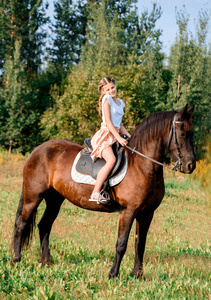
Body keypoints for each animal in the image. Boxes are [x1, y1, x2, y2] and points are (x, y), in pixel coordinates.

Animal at [12, 103, 195, 278]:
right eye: (182, 133)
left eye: (192, 133)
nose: (190, 166)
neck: (140, 165)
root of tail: (37, 151)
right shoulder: (128, 211)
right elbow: (121, 244)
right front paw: (113, 274)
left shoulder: (147, 213)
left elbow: (140, 243)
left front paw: (137, 274)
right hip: (33, 197)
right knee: (21, 225)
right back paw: (16, 260)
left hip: (54, 199)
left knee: (44, 226)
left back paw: (46, 261)